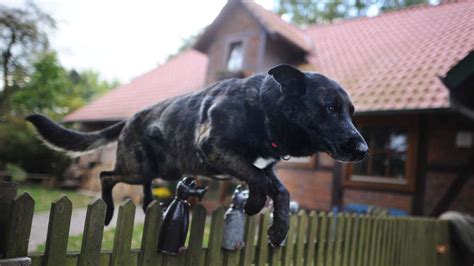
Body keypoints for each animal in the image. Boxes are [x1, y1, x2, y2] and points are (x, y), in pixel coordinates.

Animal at [25, 64, 368, 245]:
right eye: (330, 108)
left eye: (351, 112)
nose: (364, 150)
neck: (264, 109)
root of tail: (129, 119)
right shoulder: (215, 149)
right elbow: (257, 180)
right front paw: (255, 205)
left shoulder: (263, 166)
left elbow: (280, 190)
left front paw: (278, 227)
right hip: (135, 168)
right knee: (105, 175)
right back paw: (109, 211)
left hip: (157, 171)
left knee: (141, 187)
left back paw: (150, 203)